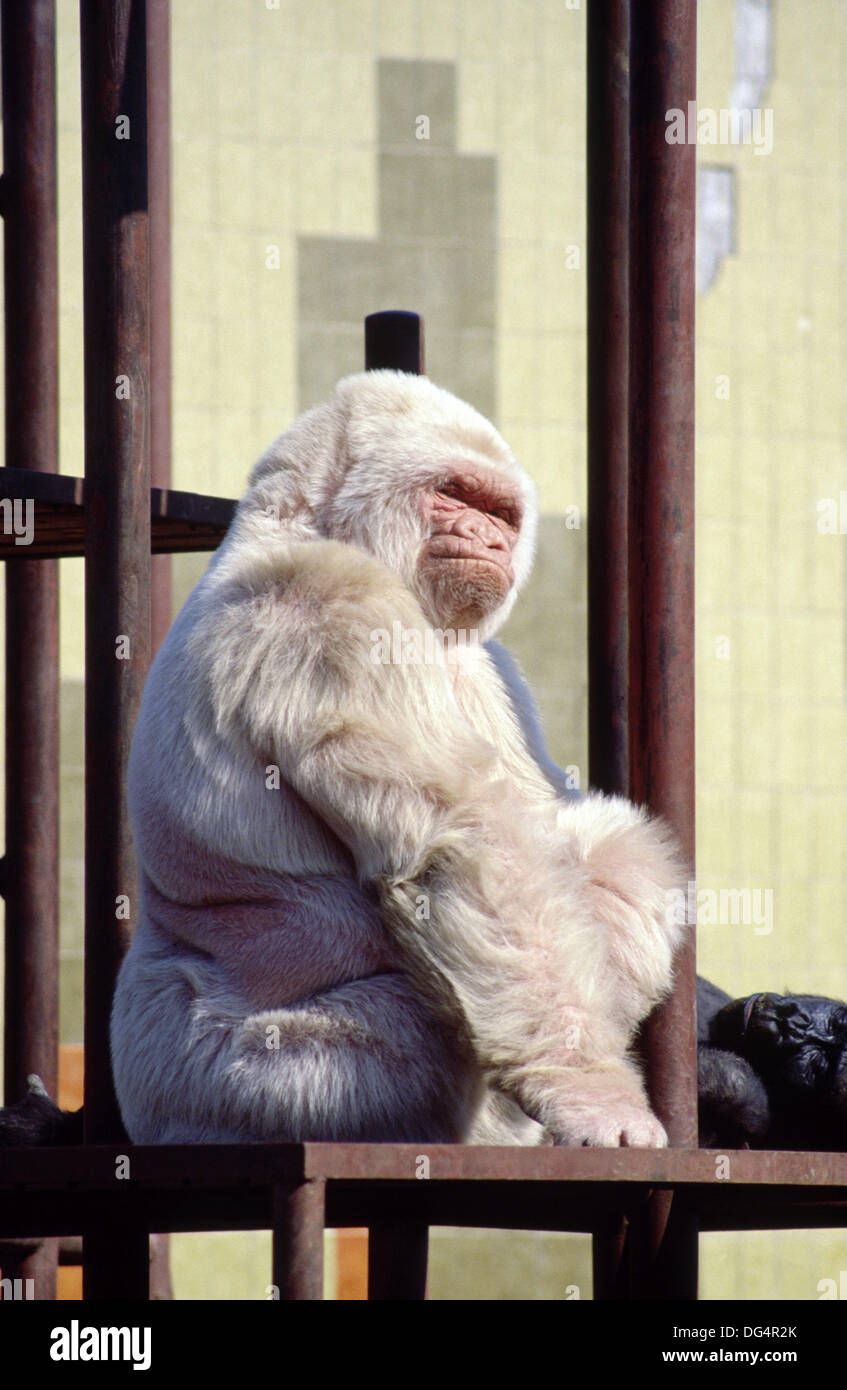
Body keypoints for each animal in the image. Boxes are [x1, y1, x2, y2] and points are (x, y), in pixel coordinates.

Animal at [109, 366, 684, 1139]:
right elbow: (467, 847)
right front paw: (593, 1090)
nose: (488, 538)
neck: (300, 521)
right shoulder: (335, 609)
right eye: (454, 494)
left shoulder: (487, 664)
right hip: (232, 1089)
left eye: (499, 511)